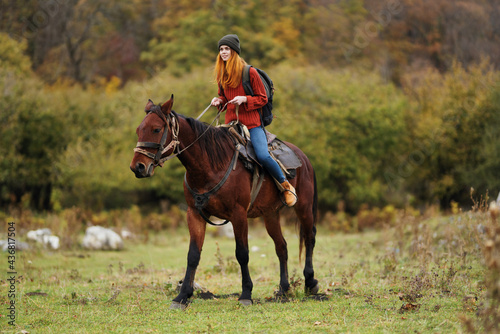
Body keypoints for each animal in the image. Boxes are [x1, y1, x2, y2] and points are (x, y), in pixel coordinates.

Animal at [129, 96, 316, 308]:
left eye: (156, 129)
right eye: (139, 130)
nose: (137, 167)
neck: (211, 165)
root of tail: (303, 158)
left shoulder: (238, 214)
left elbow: (242, 253)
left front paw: (246, 294)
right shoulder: (194, 214)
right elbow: (193, 255)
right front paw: (182, 296)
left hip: (304, 208)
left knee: (309, 238)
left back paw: (311, 283)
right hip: (270, 215)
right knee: (281, 247)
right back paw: (283, 289)